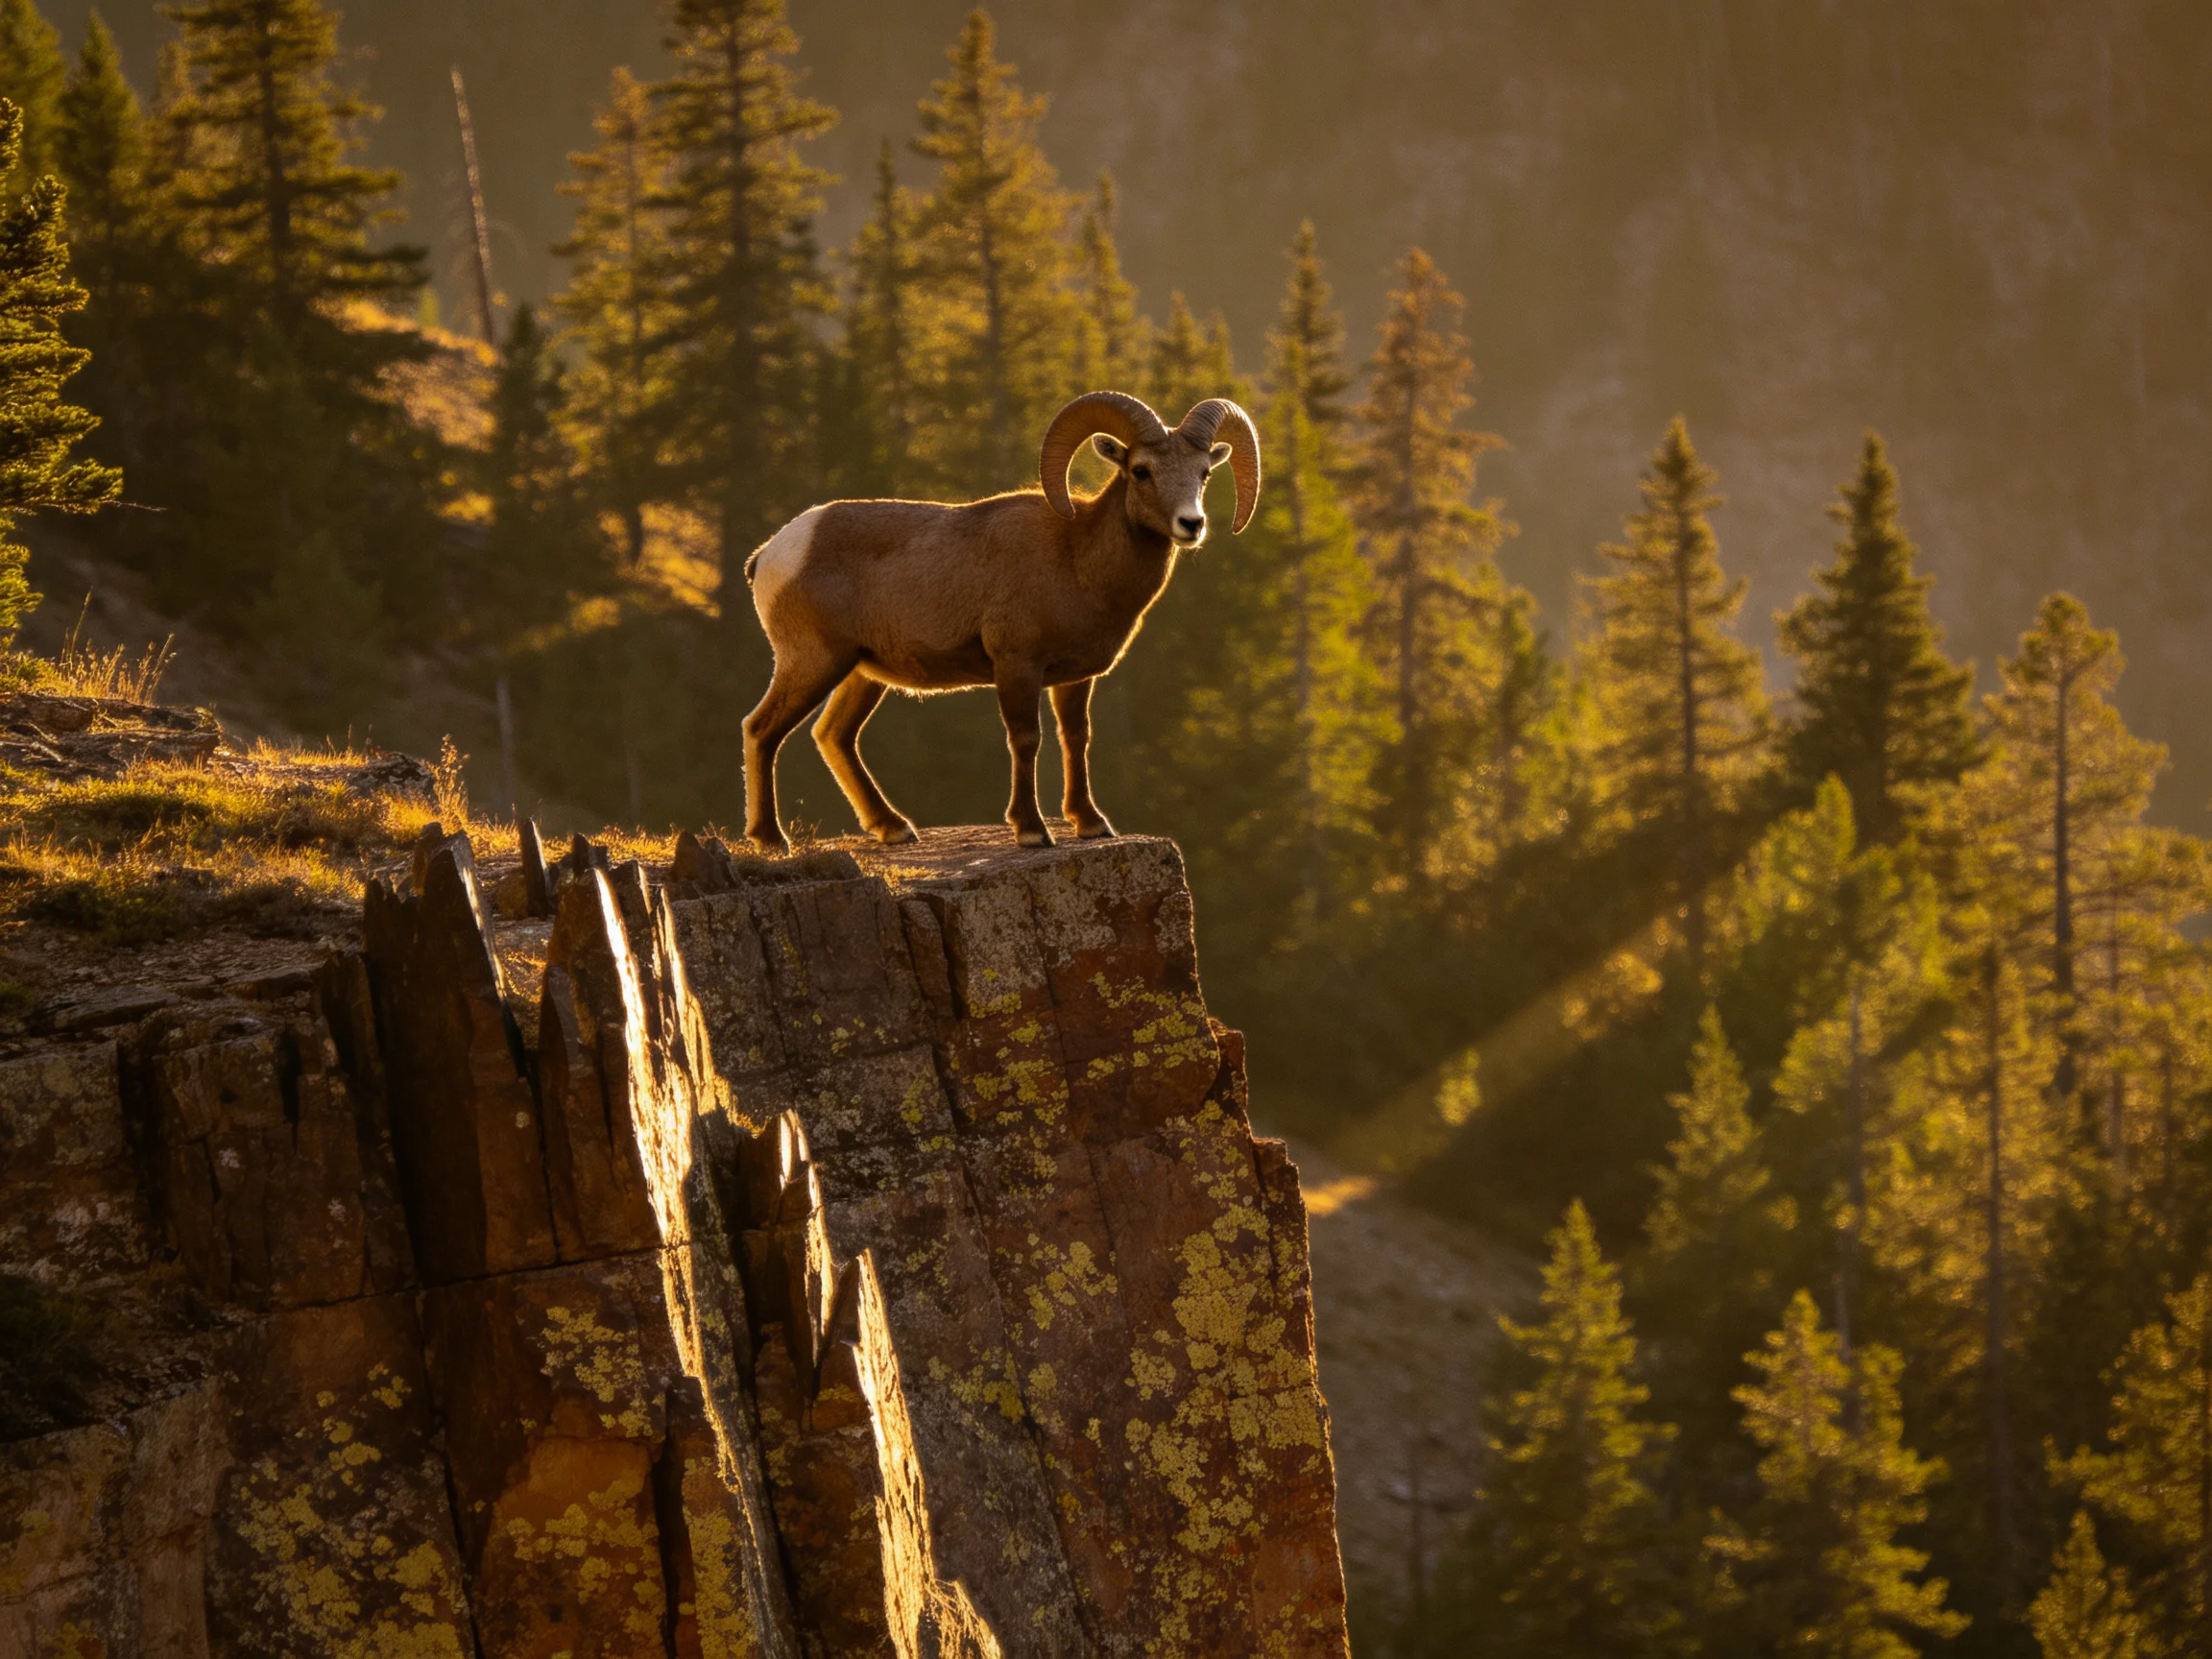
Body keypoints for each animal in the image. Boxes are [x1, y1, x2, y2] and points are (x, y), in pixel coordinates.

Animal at [740, 390, 1262, 853]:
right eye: (1141, 470)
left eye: (1203, 473)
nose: (1191, 524)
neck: (1077, 560)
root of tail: (770, 554)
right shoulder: (1017, 666)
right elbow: (1026, 740)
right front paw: (1031, 831)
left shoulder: (1073, 679)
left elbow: (1076, 738)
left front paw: (1091, 823)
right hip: (814, 662)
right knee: (762, 729)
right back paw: (771, 839)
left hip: (861, 674)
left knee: (834, 737)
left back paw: (894, 829)